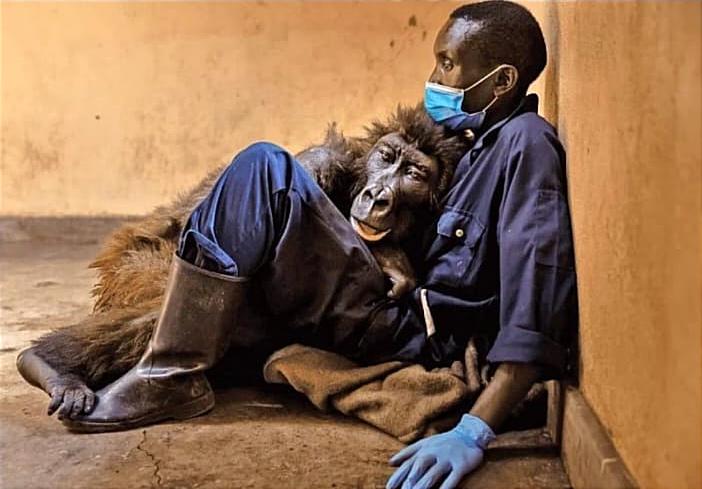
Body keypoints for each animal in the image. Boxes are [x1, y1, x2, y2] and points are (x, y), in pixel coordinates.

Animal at [17, 105, 472, 418]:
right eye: (387, 157)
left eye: (413, 173)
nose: (378, 195)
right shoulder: (321, 160)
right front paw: (390, 259)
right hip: (130, 268)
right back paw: (51, 365)